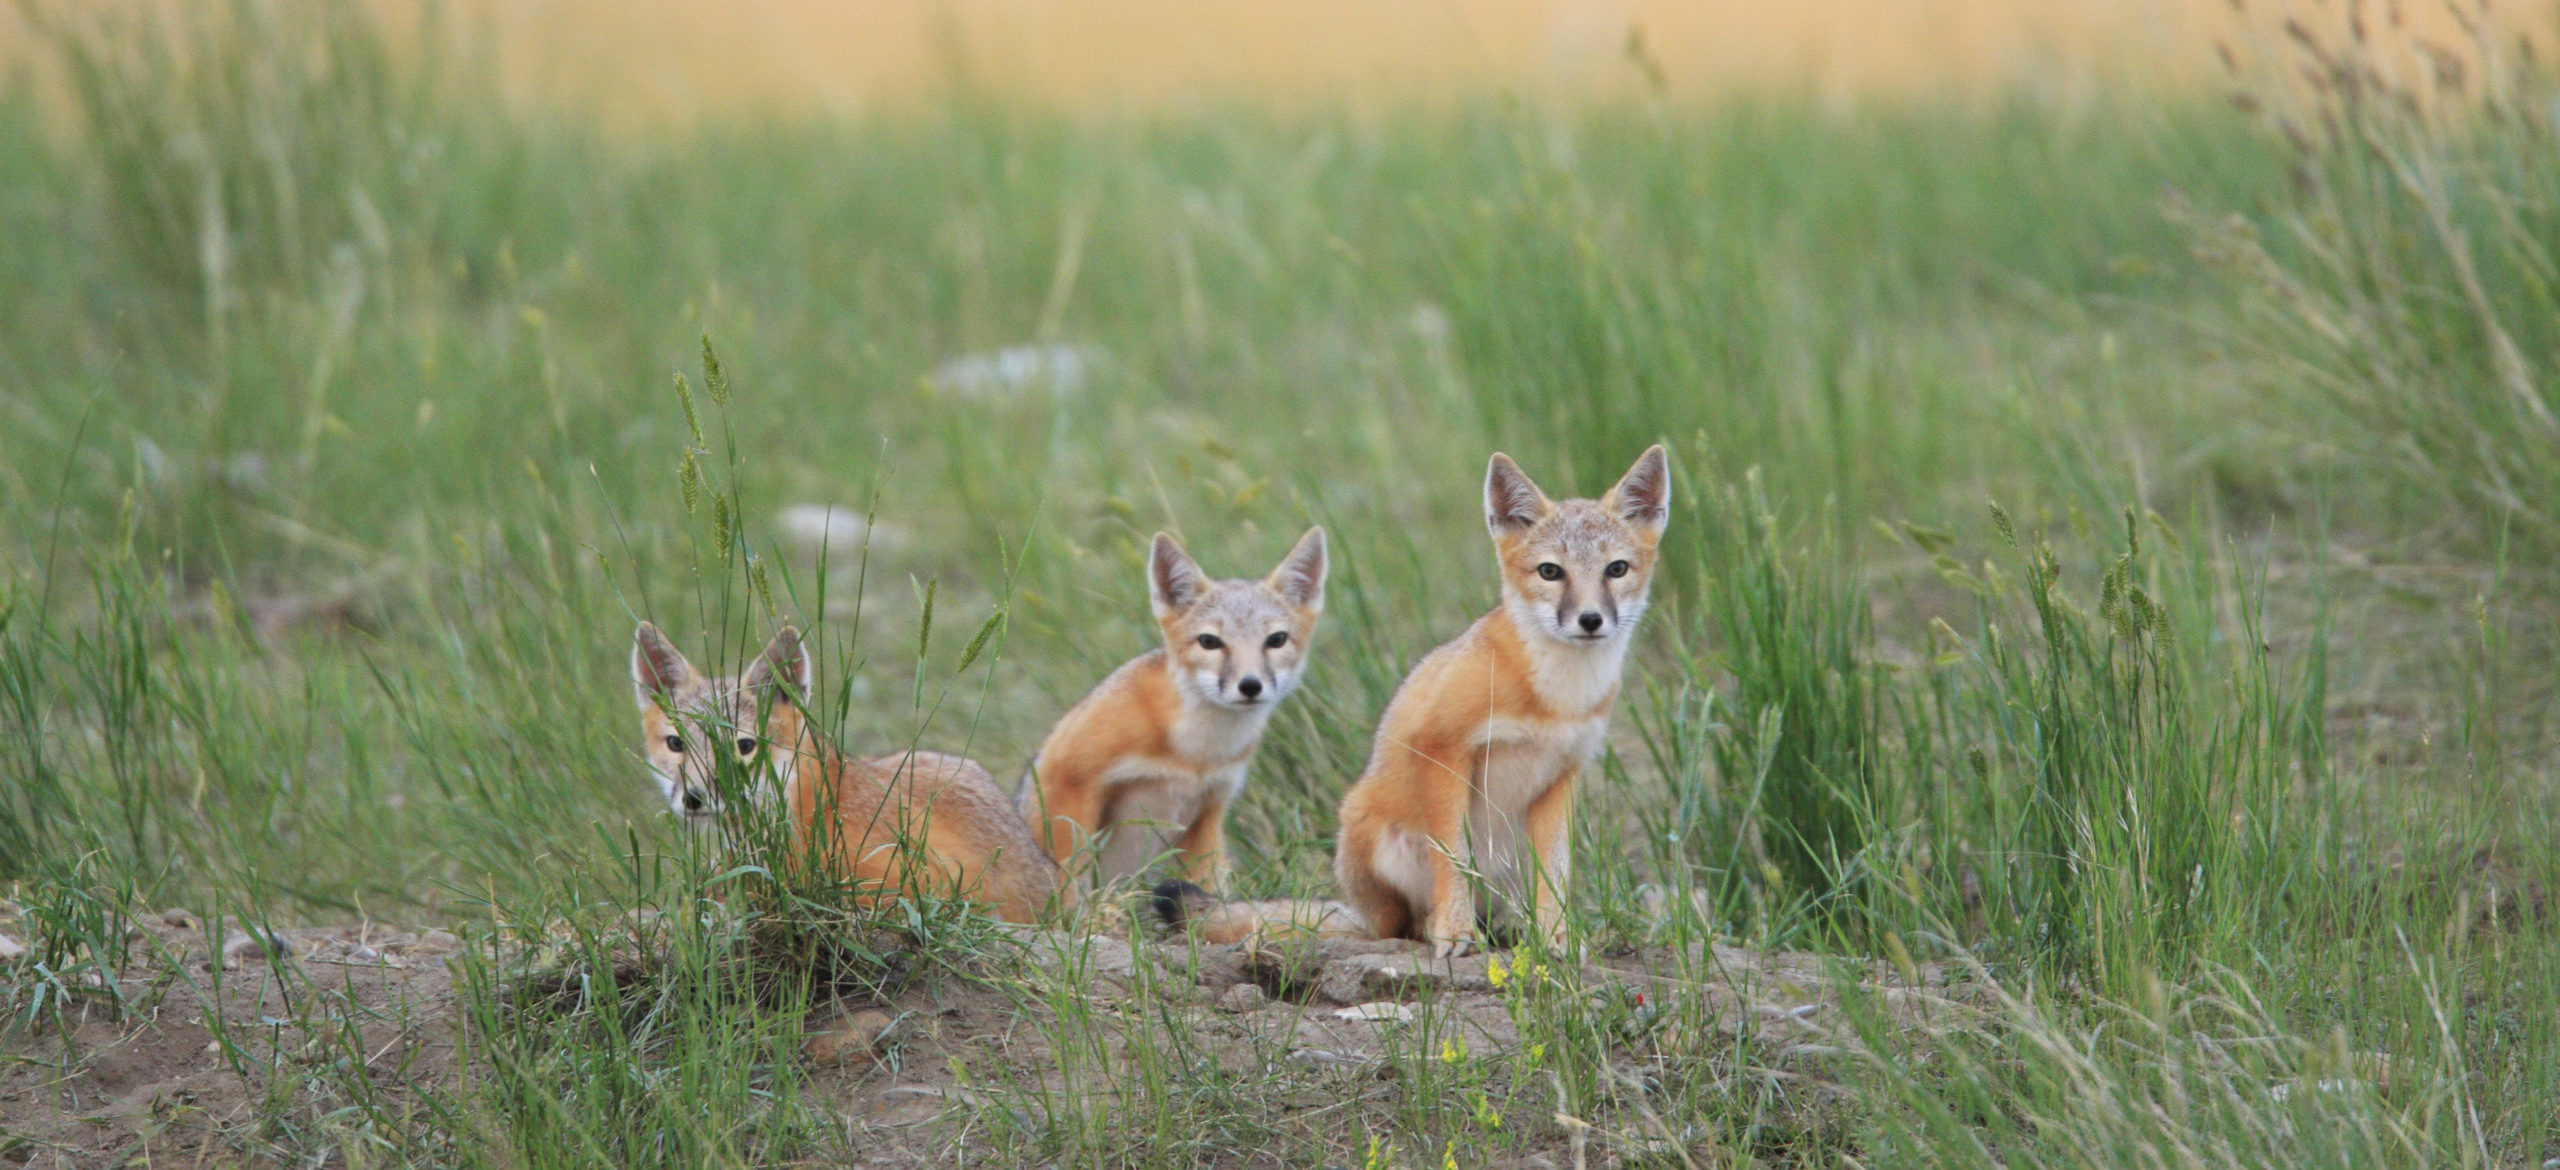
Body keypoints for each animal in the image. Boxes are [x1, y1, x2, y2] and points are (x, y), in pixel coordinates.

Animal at [1018, 532, 1331, 896]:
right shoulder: (1068, 778)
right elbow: (1068, 881)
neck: (1195, 754)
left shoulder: (1208, 811)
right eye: (1209, 641)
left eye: (1276, 640)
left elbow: (1210, 888)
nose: (1250, 685)